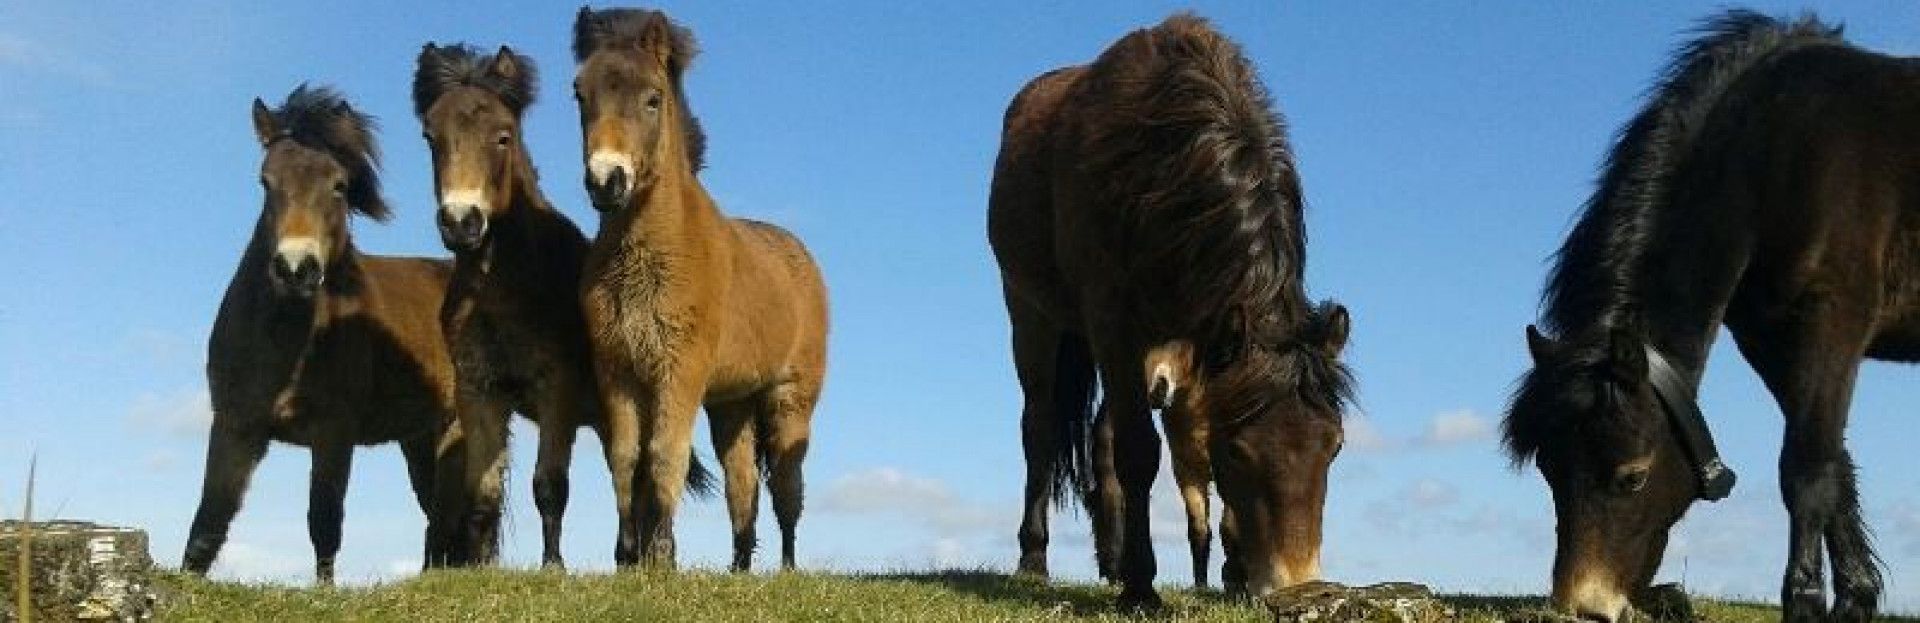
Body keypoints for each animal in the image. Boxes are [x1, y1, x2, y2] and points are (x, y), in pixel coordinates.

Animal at [183, 85, 460, 588]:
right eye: (265, 182)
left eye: (339, 186)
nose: (296, 268)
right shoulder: (235, 425)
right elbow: (210, 518)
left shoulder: (334, 431)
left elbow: (324, 518)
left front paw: (325, 592)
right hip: (418, 437)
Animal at [410, 42, 714, 569]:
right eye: (431, 136)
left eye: (503, 137)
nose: (462, 222)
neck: (502, 289)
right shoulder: (479, 392)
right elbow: (483, 492)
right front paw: (484, 568)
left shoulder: (557, 392)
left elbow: (549, 486)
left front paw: (553, 566)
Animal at [576, 7, 833, 573]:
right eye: (579, 93)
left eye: (653, 98)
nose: (606, 180)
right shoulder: (618, 370)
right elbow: (625, 458)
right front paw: (627, 557)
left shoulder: (679, 370)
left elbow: (662, 456)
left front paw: (661, 558)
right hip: (732, 406)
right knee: (743, 487)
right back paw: (738, 569)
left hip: (788, 399)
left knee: (786, 487)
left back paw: (786, 568)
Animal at [990, 13, 1351, 607]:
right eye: (1238, 452)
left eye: (1334, 447)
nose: (1300, 587)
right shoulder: (1114, 323)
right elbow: (1140, 452)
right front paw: (1142, 590)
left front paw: (1230, 578)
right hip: (1034, 317)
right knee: (1039, 427)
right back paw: (1035, 559)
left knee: (1101, 439)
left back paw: (1113, 562)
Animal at [1505, 10, 1912, 623]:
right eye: (1551, 472)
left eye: (1633, 477)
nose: (1588, 608)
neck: (1779, 157)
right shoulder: (1774, 344)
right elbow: (1836, 465)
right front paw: (1856, 599)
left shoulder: (1832, 324)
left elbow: (1807, 469)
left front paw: (1806, 602)